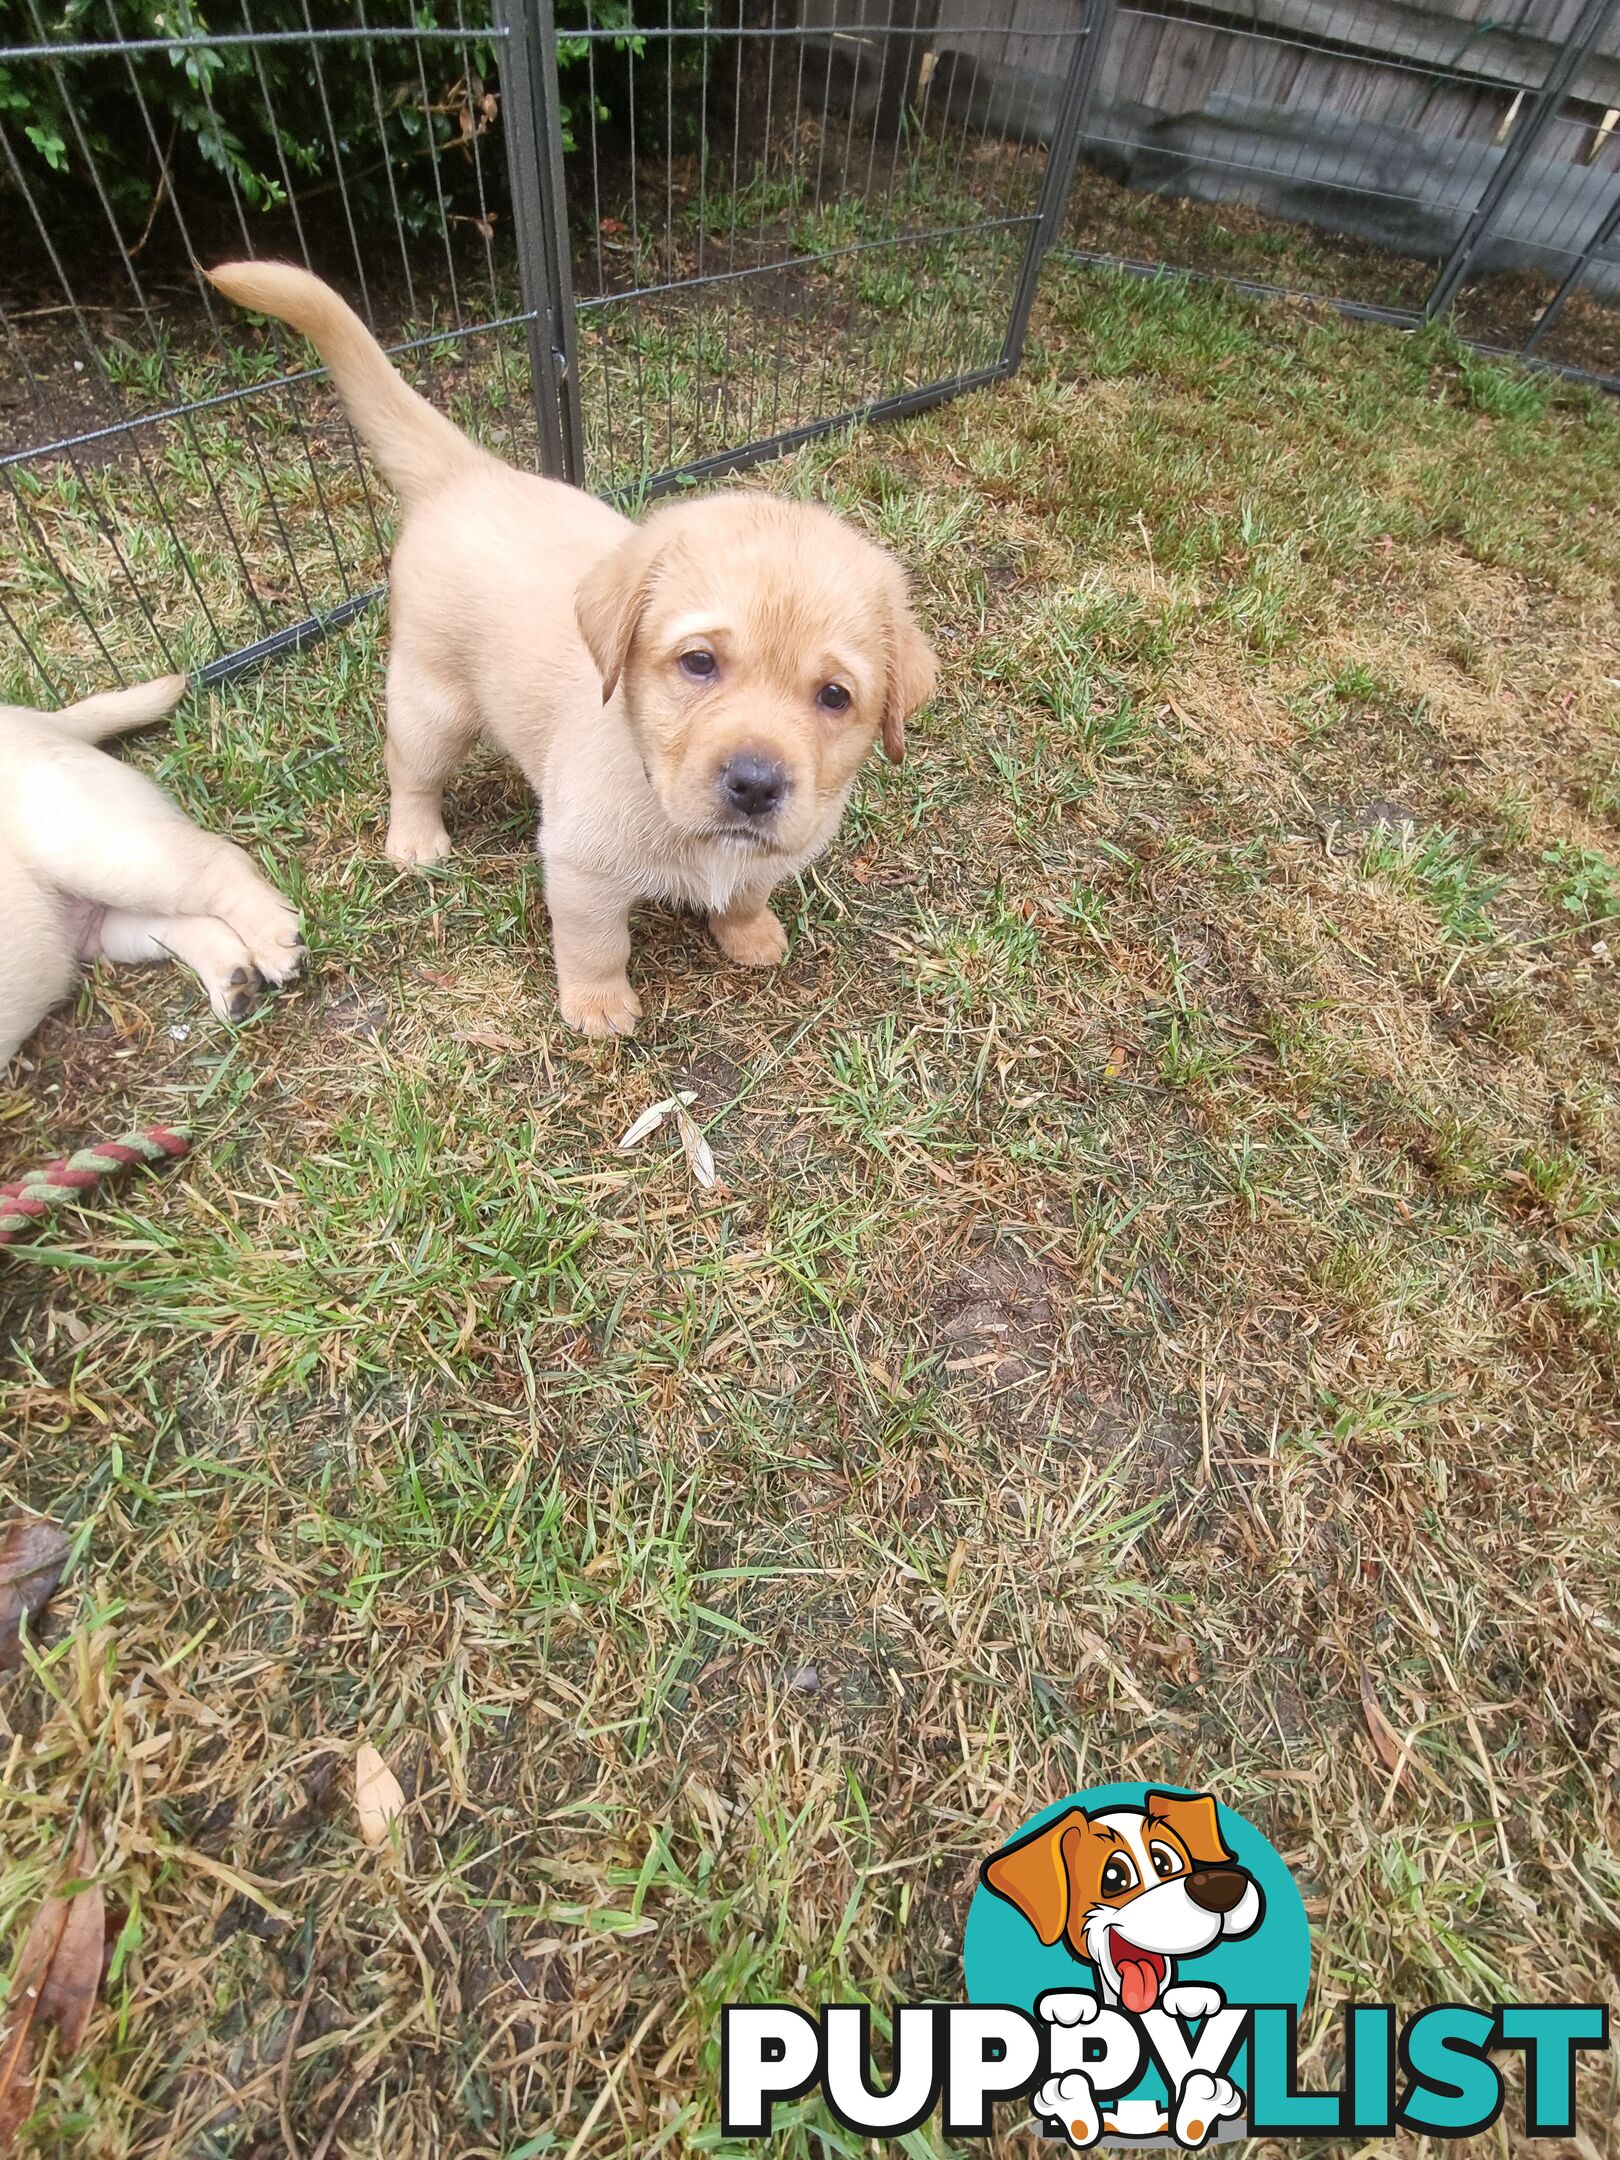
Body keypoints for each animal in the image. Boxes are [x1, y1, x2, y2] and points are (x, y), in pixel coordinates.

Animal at [0, 678, 304, 1067]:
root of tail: (48, 720)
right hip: (100, 926)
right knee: (183, 924)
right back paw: (231, 980)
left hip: (92, 845)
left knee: (217, 862)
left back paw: (274, 943)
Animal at [209, 261, 937, 1036]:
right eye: (699, 662)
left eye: (835, 696)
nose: (755, 785)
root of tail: (470, 472)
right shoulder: (581, 871)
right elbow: (597, 944)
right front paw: (598, 1006)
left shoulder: (776, 848)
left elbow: (746, 891)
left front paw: (751, 935)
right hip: (431, 700)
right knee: (409, 766)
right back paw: (415, 840)